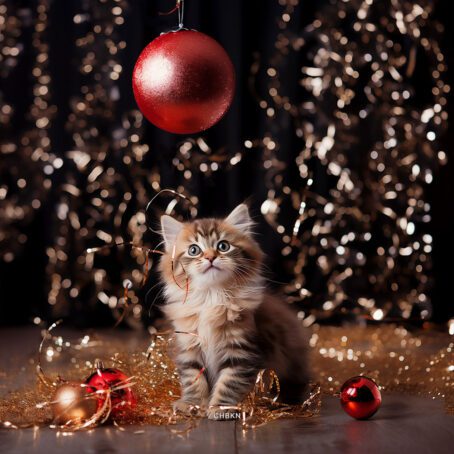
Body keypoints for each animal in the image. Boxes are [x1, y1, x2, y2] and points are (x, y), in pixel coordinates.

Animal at [158, 204, 310, 420]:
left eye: (223, 246)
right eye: (194, 250)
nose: (210, 257)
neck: (212, 299)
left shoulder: (242, 352)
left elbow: (229, 383)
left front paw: (220, 408)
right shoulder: (189, 347)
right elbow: (193, 379)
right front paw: (192, 404)